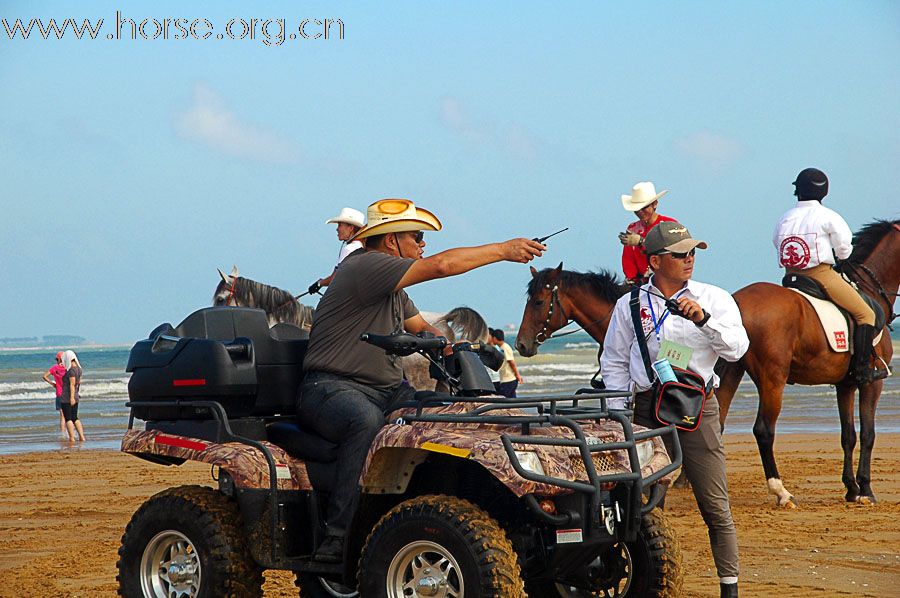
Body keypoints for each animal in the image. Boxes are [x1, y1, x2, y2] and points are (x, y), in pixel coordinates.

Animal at [712, 218, 896, 508]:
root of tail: (738, 301)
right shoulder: (871, 383)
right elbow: (868, 434)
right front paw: (865, 490)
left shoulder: (845, 385)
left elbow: (848, 436)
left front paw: (851, 489)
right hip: (772, 380)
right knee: (763, 430)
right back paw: (781, 492)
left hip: (732, 371)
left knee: (717, 421)